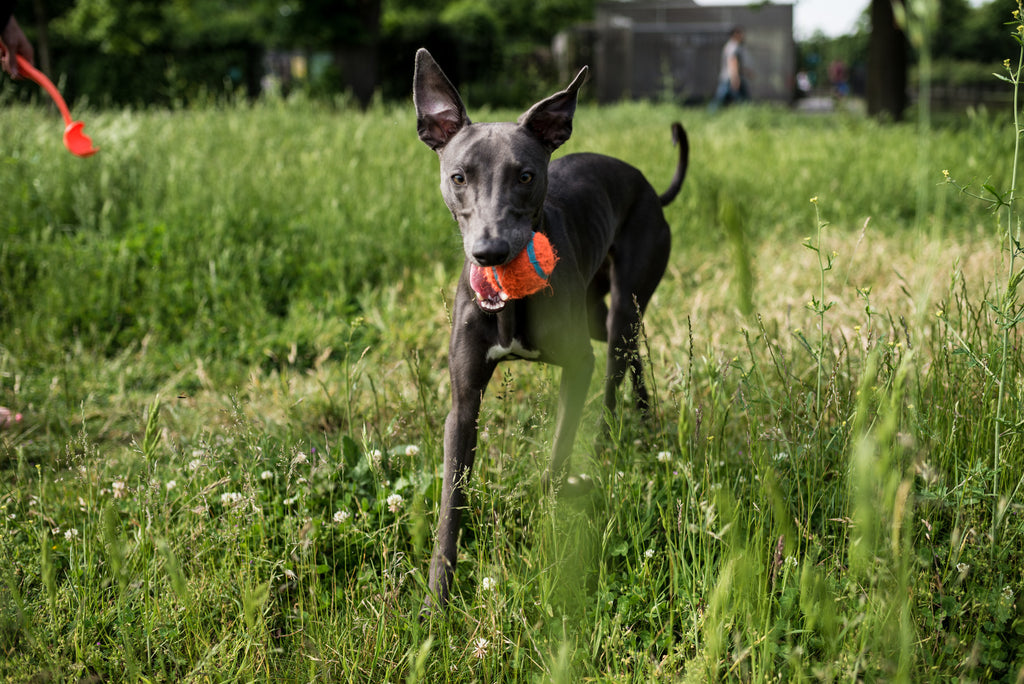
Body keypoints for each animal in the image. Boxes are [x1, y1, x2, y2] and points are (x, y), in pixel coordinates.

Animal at [409, 50, 688, 610]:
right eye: (458, 177)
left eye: (525, 175)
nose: (490, 253)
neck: (510, 304)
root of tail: (649, 186)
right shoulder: (463, 402)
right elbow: (451, 499)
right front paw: (436, 600)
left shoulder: (576, 366)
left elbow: (556, 461)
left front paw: (548, 541)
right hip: (602, 312)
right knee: (634, 352)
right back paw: (646, 423)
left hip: (621, 305)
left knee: (617, 369)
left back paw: (611, 441)